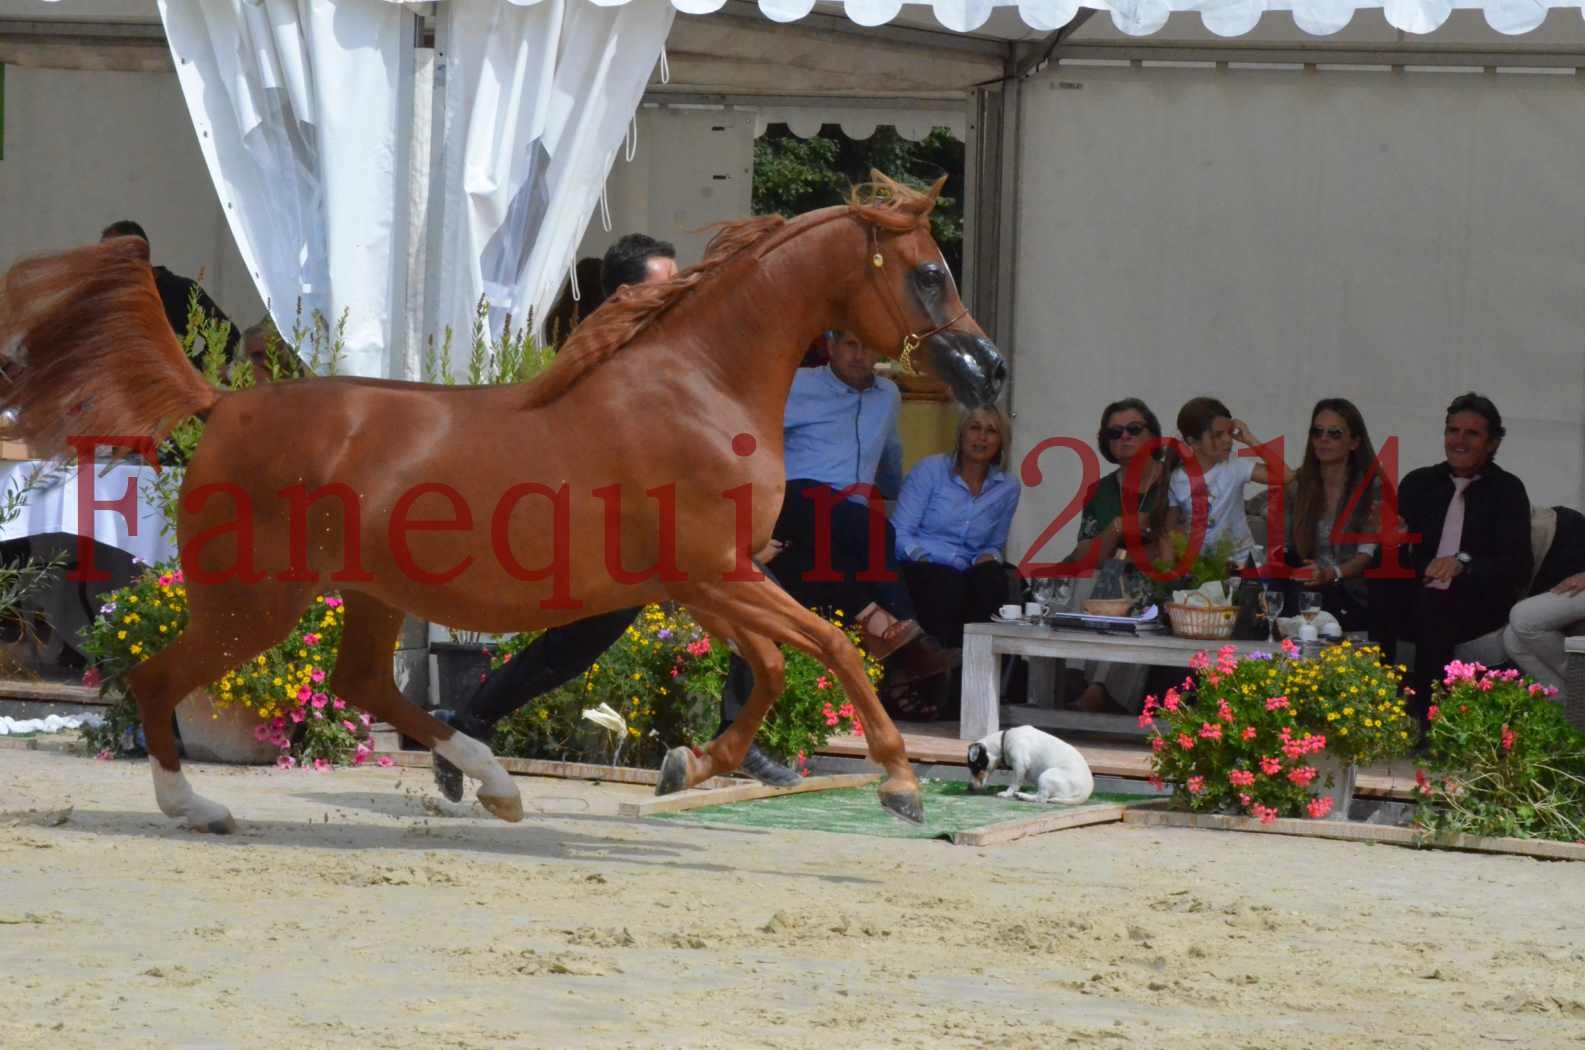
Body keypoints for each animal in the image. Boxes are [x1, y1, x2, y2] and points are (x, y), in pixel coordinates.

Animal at [3, 174, 1001, 831]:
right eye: (927, 272)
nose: (987, 371)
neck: (697, 386)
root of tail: (220, 401)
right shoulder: (714, 573)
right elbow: (827, 647)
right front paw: (899, 783)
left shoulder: (706, 581)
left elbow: (773, 665)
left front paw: (688, 765)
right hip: (257, 599)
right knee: (155, 678)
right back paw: (197, 805)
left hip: (364, 593)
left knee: (361, 682)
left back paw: (493, 782)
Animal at [957, 729, 1096, 808]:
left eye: (976, 767)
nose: (969, 787)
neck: (1003, 741)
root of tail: (1086, 792)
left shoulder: (1020, 765)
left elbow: (1014, 783)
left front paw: (1007, 793)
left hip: (1046, 775)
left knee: (1041, 799)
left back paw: (1023, 796)